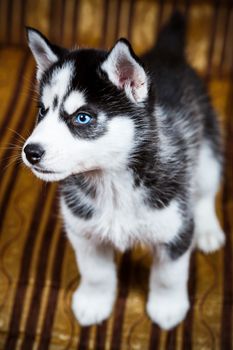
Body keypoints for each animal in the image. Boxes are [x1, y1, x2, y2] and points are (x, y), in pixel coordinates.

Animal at [22, 13, 226, 330]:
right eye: (42, 111)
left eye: (82, 118)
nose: (30, 152)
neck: (113, 183)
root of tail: (167, 55)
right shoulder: (83, 231)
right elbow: (96, 273)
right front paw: (94, 302)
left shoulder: (175, 228)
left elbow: (168, 276)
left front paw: (167, 307)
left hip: (206, 151)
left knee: (205, 191)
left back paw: (207, 230)